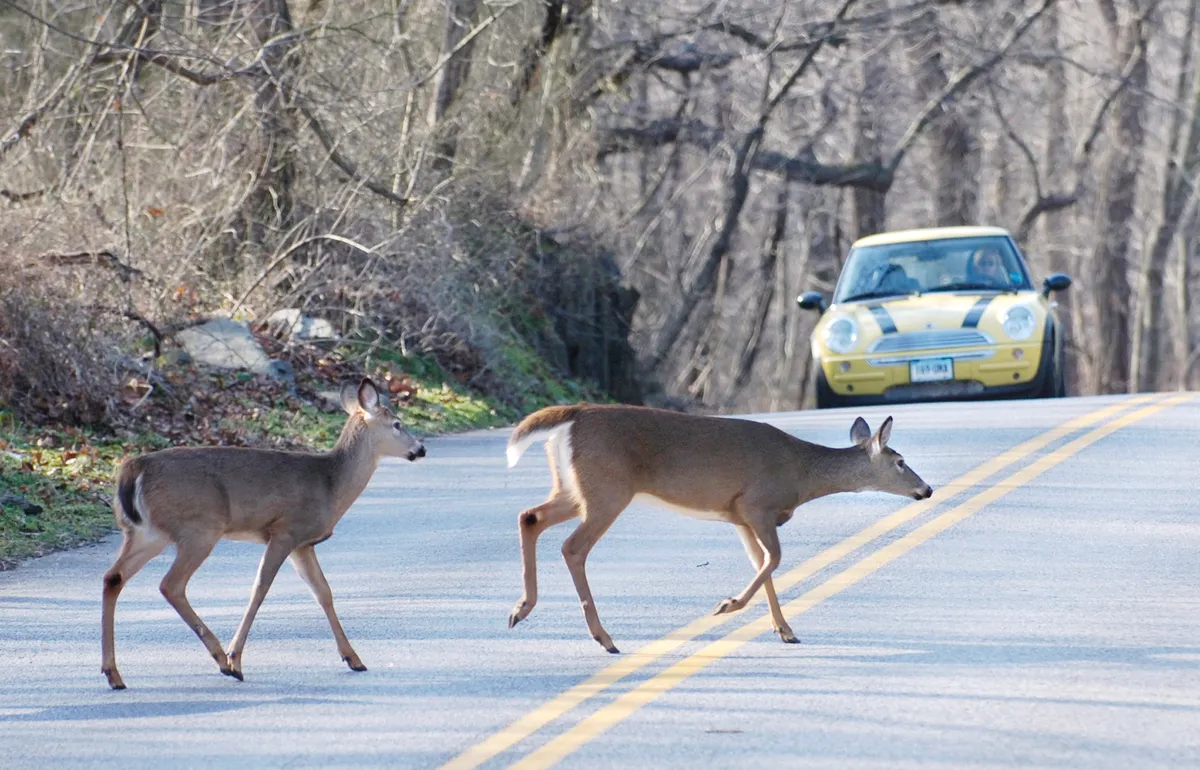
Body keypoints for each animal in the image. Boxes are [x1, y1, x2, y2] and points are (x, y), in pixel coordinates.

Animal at [100, 379, 427, 690]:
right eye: (397, 424)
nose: (421, 448)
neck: (331, 485)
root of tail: (134, 468)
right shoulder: (285, 530)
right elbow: (260, 588)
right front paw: (235, 658)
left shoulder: (303, 544)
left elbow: (323, 592)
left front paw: (353, 658)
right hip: (199, 528)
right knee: (170, 584)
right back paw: (221, 660)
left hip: (147, 533)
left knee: (113, 577)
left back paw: (114, 674)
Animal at [501, 405, 931, 652]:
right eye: (900, 462)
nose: (926, 489)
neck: (802, 475)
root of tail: (571, 417)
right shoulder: (756, 503)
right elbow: (774, 559)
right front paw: (729, 605)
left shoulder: (738, 515)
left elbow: (761, 562)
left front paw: (785, 630)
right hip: (607, 489)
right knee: (573, 547)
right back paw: (603, 638)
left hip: (575, 489)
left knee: (529, 516)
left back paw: (520, 609)